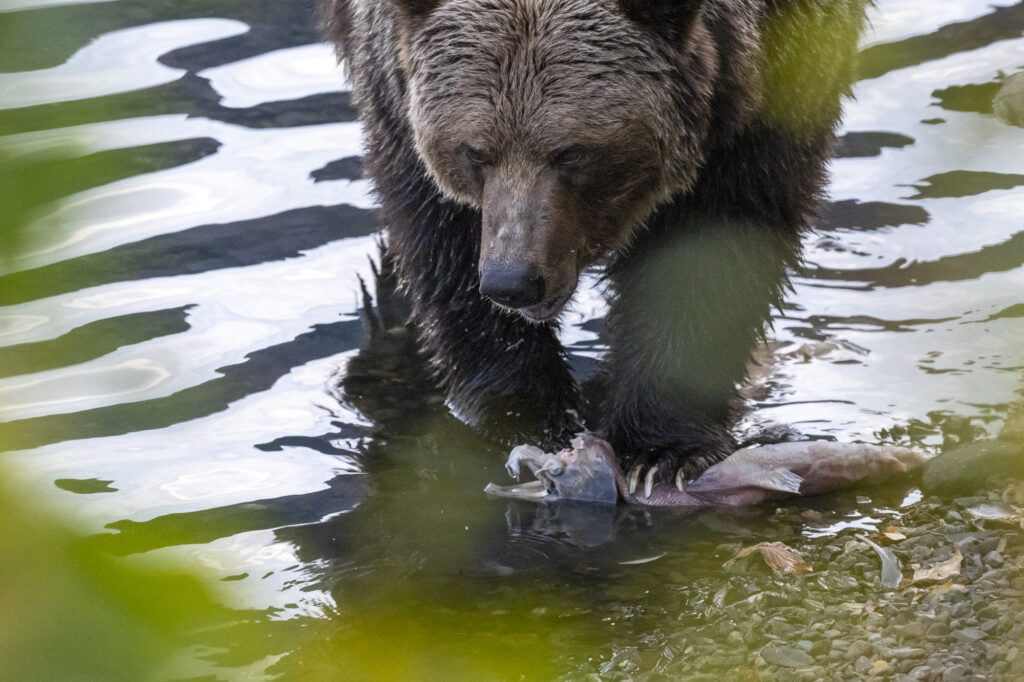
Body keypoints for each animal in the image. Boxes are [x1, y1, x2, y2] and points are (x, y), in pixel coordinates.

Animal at [320, 0, 868, 492]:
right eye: (475, 151)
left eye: (572, 152)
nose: (514, 282)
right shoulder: (394, 89)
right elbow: (441, 241)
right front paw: (527, 419)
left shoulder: (775, 85)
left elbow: (714, 257)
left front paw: (661, 450)